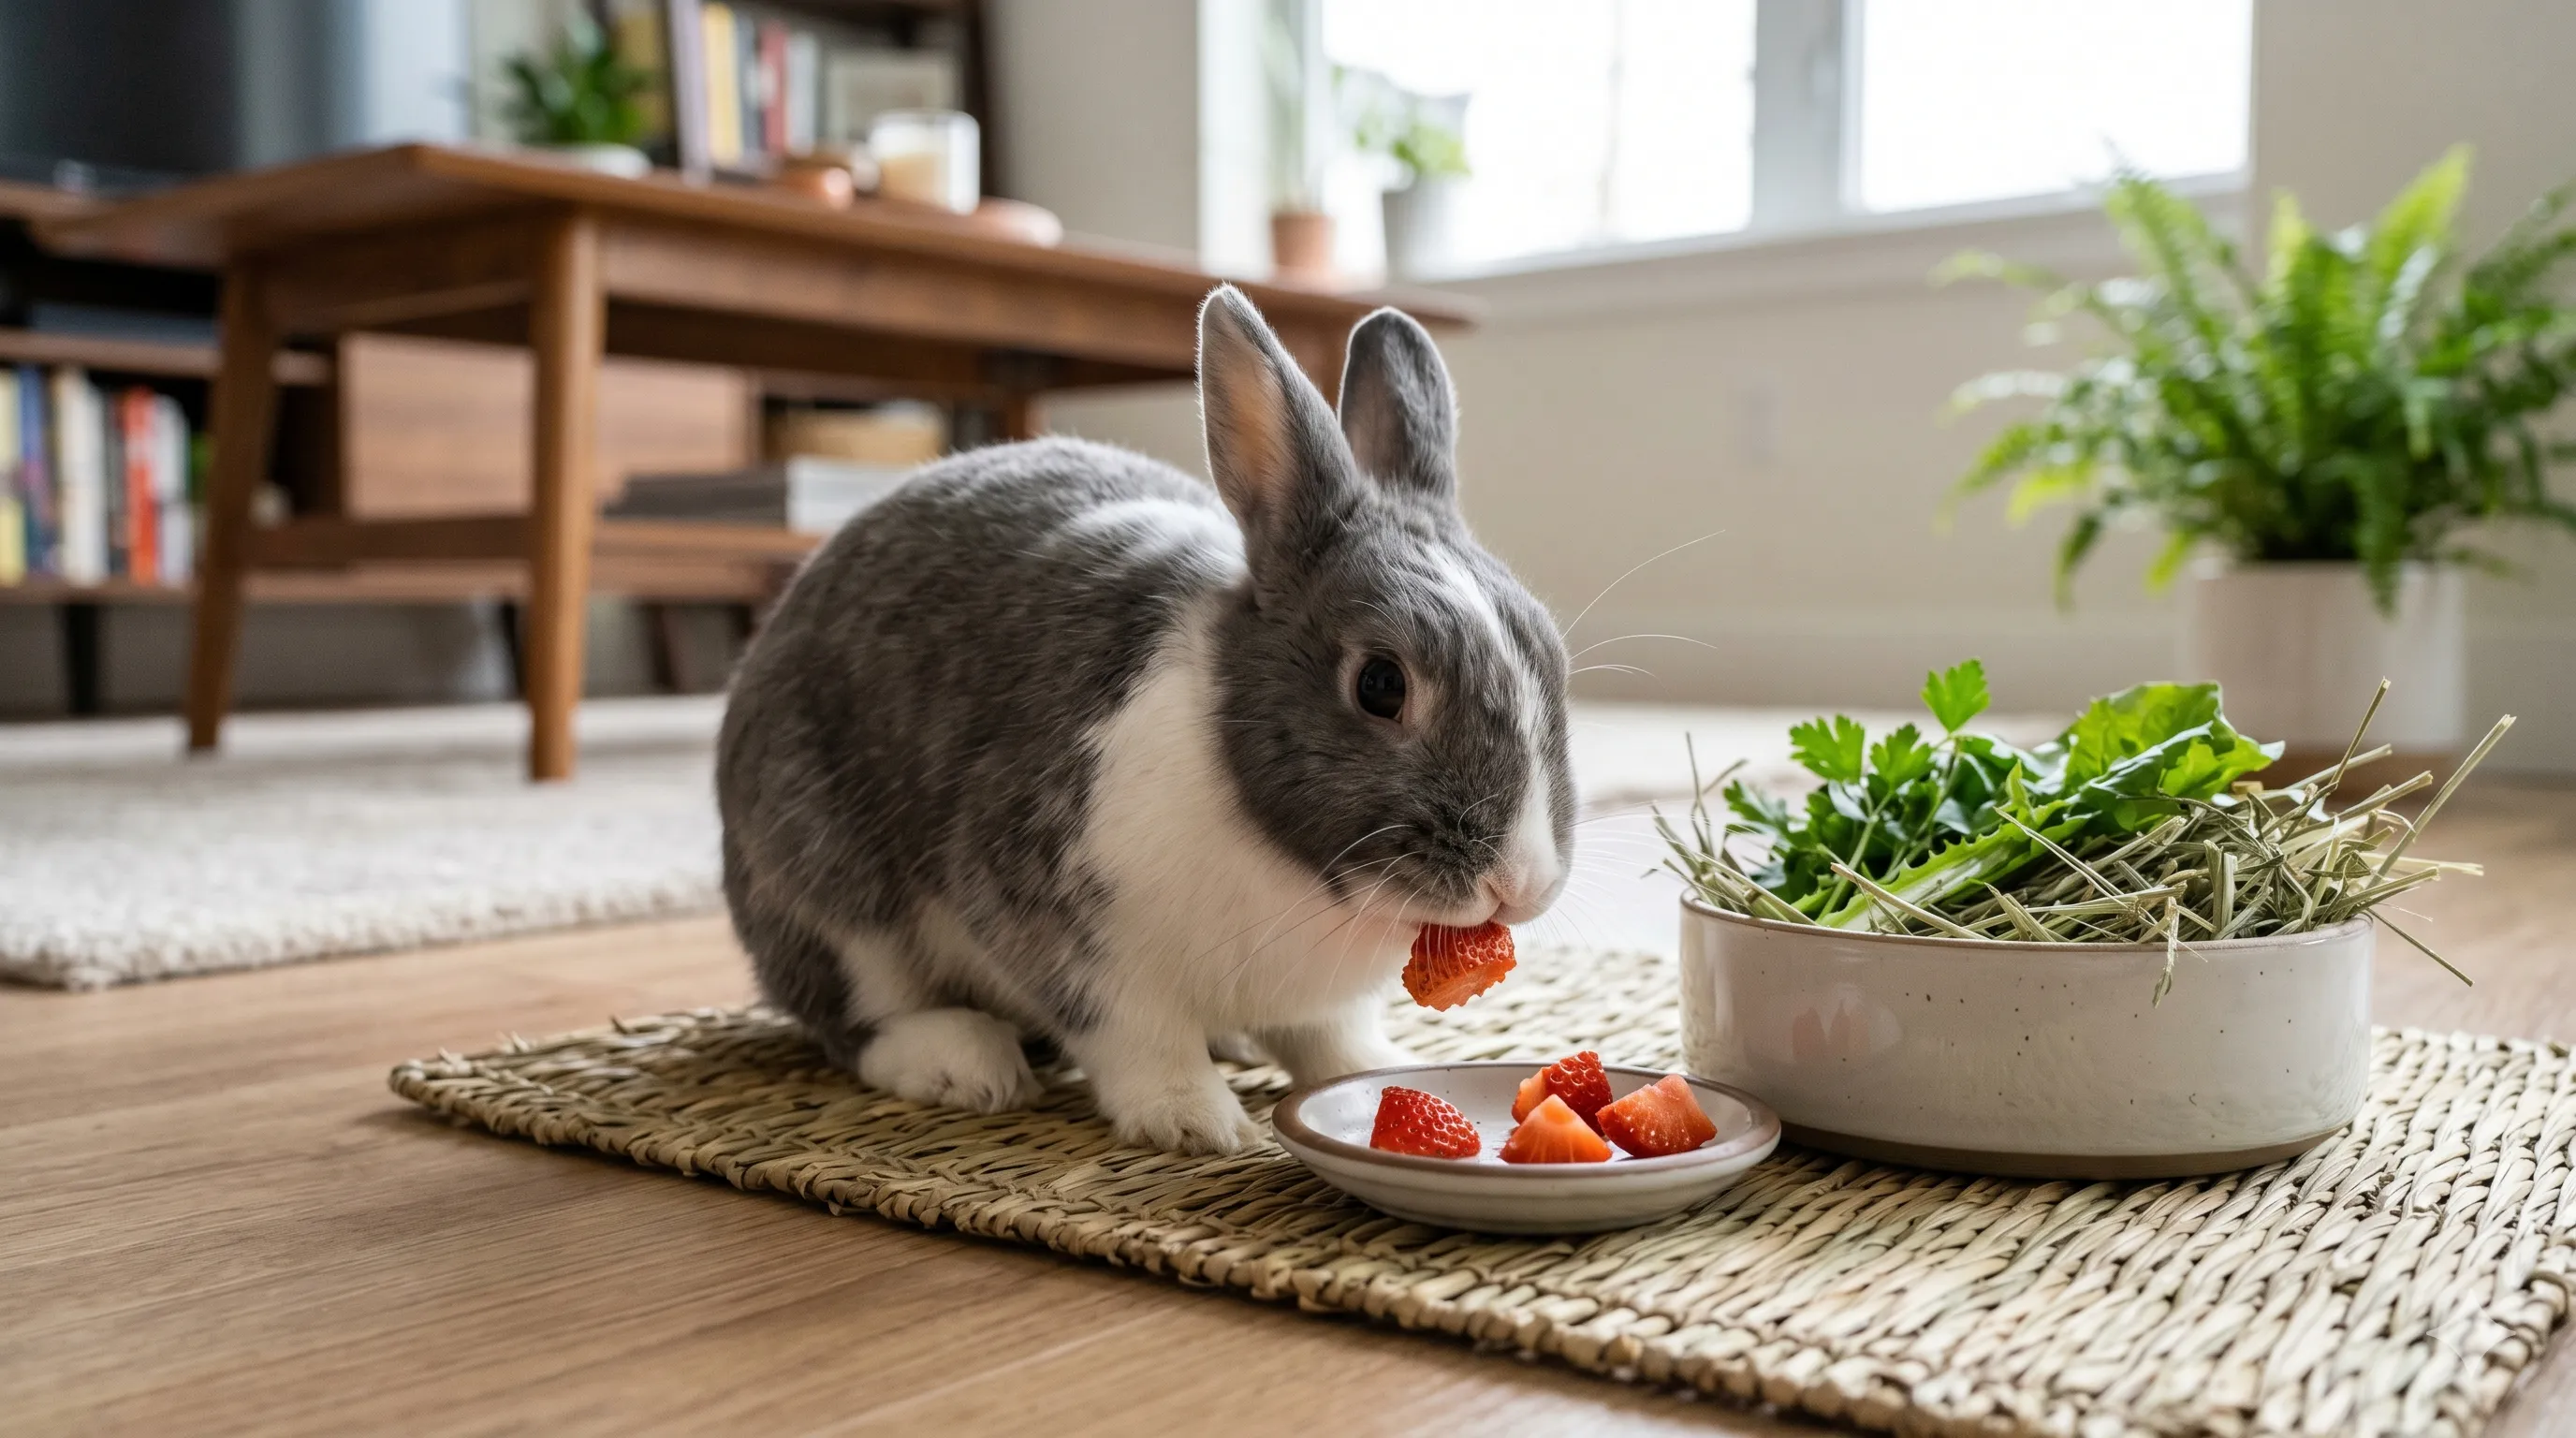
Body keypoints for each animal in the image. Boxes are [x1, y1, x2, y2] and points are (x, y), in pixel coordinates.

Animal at [715, 285, 1572, 1154]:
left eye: (1552, 655)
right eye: (1381, 684)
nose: (1519, 884)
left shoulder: (1318, 1006)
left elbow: (1332, 1042)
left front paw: (1376, 1072)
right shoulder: (1067, 931)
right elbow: (1138, 1038)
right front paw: (1198, 1124)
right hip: (827, 887)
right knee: (855, 1021)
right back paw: (966, 1064)